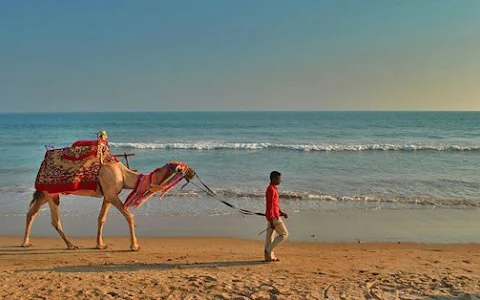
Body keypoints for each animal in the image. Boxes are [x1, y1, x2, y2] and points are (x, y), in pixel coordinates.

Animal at [22, 162, 195, 251]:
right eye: (183, 167)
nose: (193, 172)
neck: (124, 175)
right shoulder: (112, 195)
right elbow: (130, 216)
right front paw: (134, 246)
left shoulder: (107, 196)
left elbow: (102, 218)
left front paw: (100, 244)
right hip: (52, 194)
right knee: (54, 220)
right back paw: (71, 245)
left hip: (44, 194)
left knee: (31, 213)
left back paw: (26, 242)